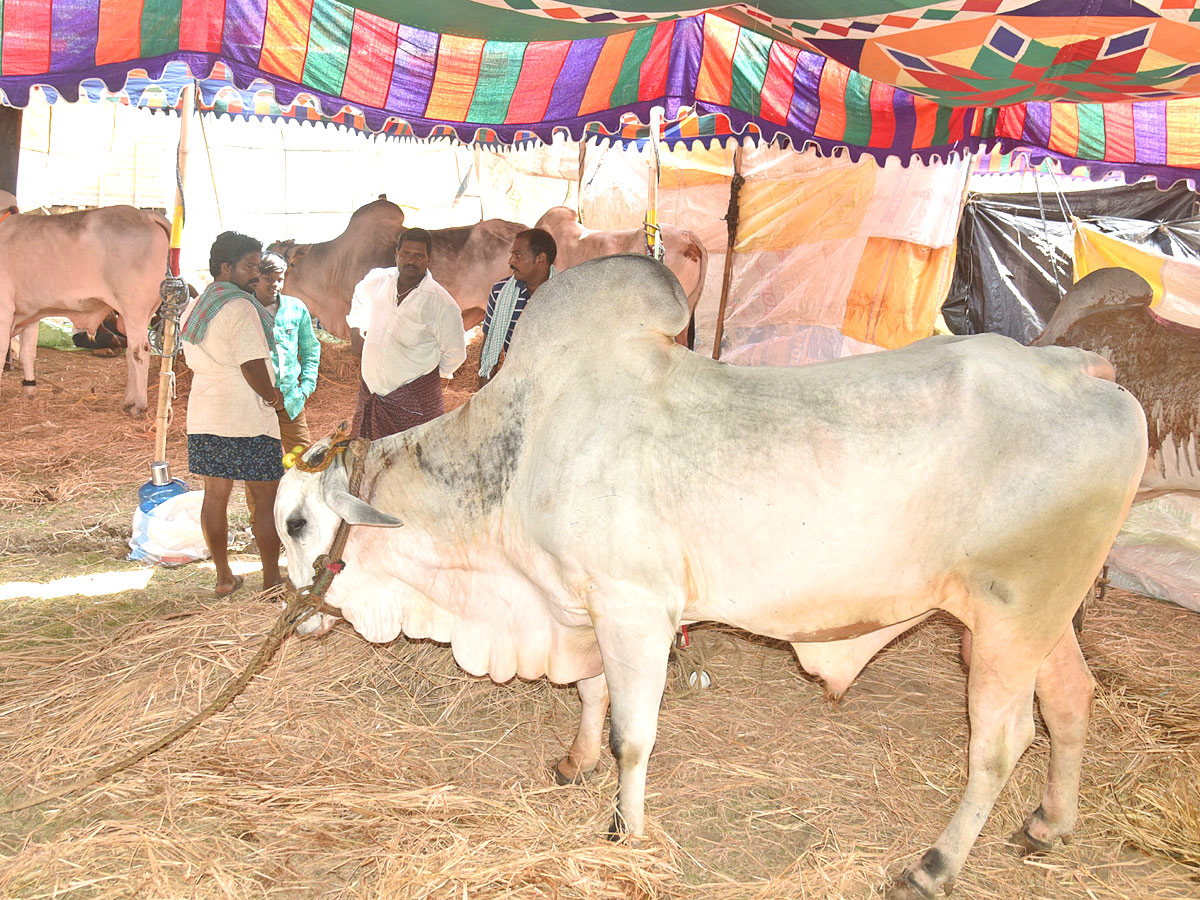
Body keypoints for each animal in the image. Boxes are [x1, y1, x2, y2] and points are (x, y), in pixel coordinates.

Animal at [0, 195, 170, 417]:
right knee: (131, 354)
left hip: (135, 308)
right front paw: (29, 391)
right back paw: (127, 400)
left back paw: (138, 405)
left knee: (140, 352)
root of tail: (146, 214)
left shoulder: (4, 310)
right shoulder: (30, 313)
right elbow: (28, 353)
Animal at [276, 254, 1147, 900]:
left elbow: (633, 736)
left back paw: (933, 866)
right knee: (1071, 699)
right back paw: (1050, 823)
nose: (289, 610)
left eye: (294, 524)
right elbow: (590, 696)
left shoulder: (636, 609)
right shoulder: (585, 606)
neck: (523, 451)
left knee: (1000, 743)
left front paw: (624, 832)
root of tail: (1081, 368)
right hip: (1040, 619)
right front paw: (575, 763)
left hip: (1009, 618)